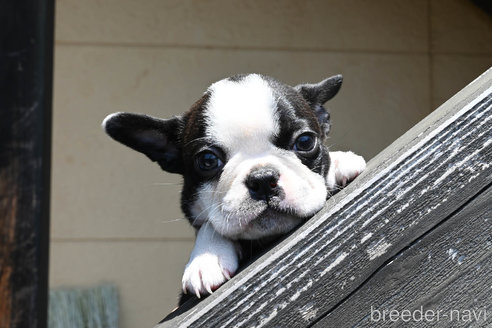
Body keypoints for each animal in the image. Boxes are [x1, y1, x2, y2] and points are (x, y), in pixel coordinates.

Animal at [103, 73, 366, 304]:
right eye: (208, 160)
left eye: (305, 141)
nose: (262, 179)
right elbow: (209, 225)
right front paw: (206, 259)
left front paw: (339, 162)